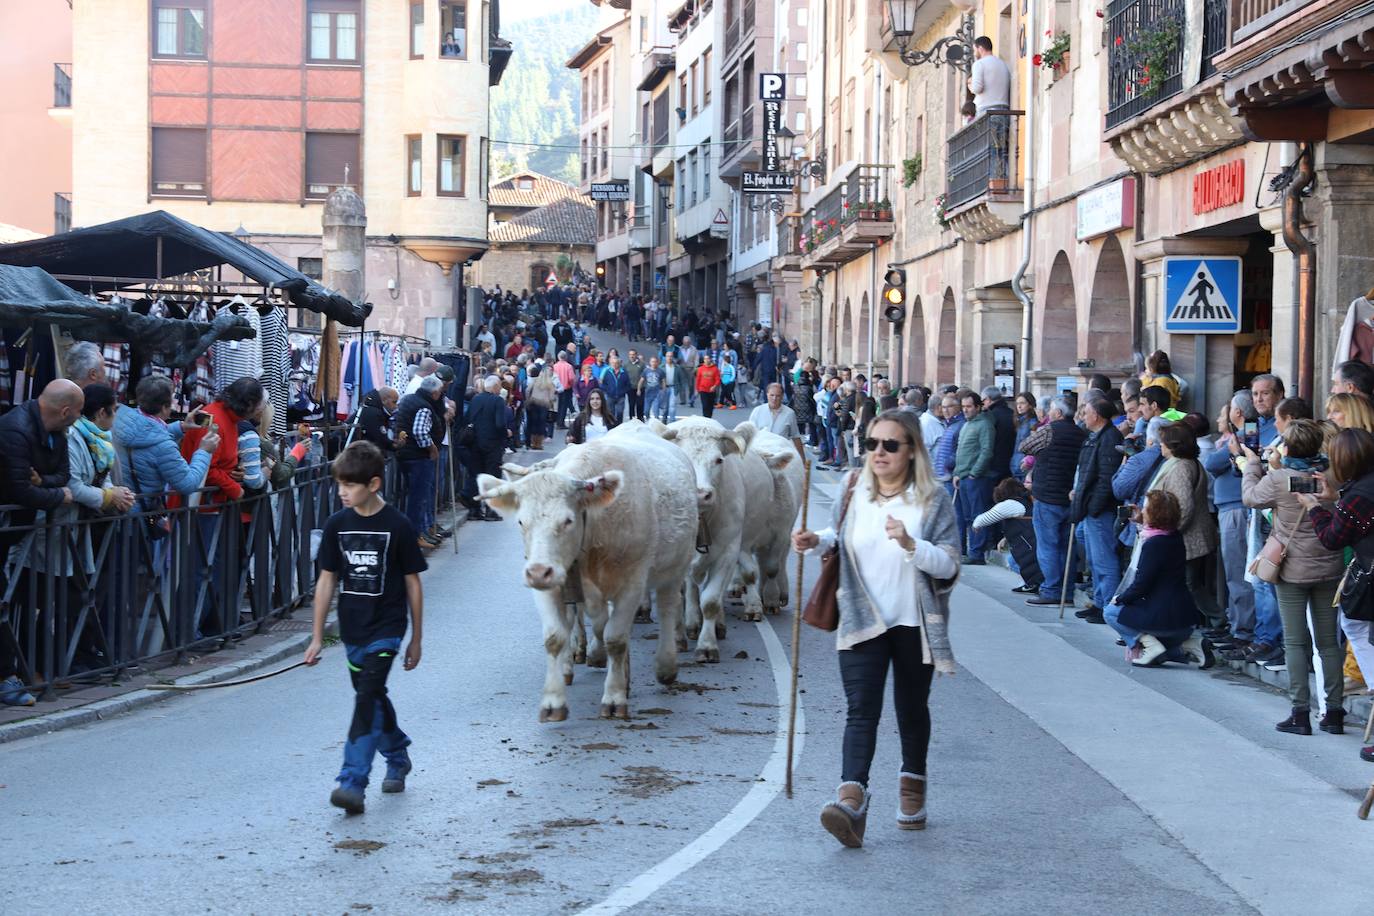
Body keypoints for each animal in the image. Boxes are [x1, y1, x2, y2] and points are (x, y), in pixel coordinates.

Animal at [480, 431, 697, 725]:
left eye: (567, 521)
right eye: (521, 522)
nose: (537, 572)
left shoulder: (633, 581)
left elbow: (615, 638)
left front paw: (614, 698)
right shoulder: (552, 586)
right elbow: (556, 637)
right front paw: (554, 700)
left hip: (675, 568)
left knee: (667, 609)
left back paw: (666, 665)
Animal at [662, 414, 780, 659]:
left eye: (718, 460)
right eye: (682, 457)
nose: (701, 494)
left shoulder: (727, 552)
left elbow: (711, 601)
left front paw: (707, 645)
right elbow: (677, 599)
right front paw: (677, 639)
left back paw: (716, 625)